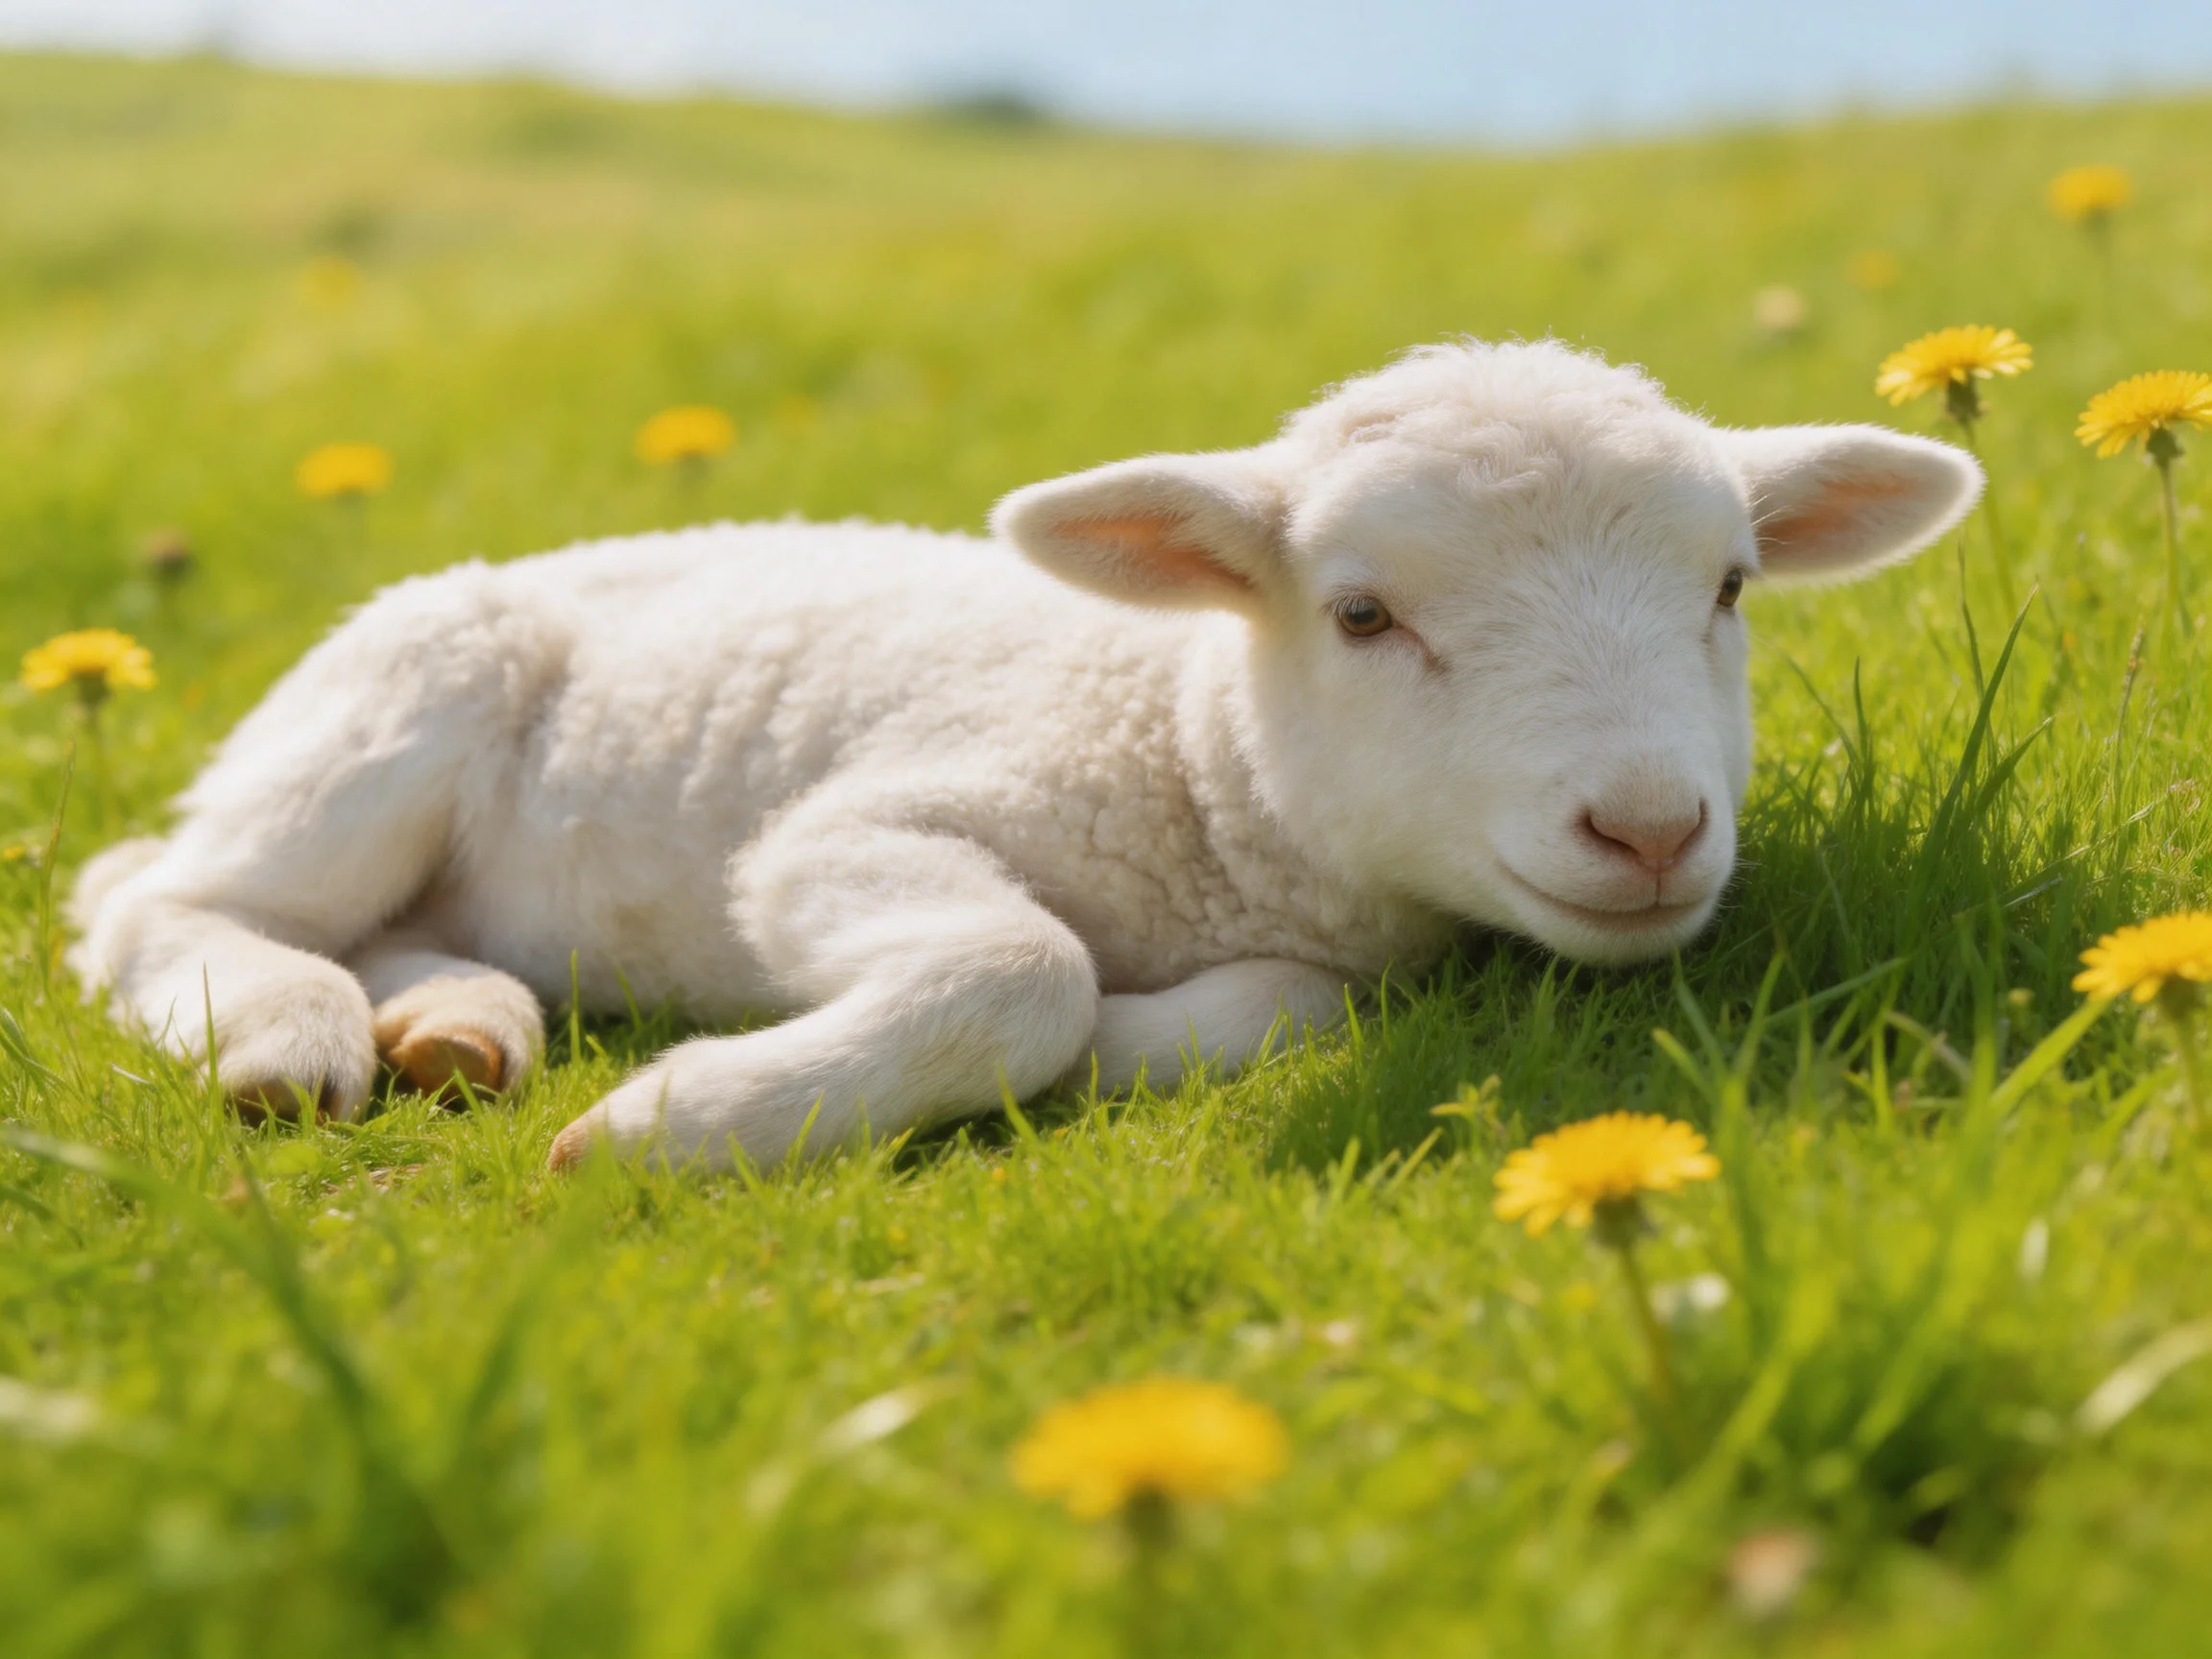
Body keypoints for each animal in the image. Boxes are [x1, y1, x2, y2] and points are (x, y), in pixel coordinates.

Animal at [69, 340, 1980, 1170]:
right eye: (1362, 615)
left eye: (1728, 587)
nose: (1648, 828)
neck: (1190, 745)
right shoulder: (852, 832)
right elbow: (1021, 969)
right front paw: (683, 1118)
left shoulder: (1304, 949)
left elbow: (1282, 1007)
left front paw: (1138, 1045)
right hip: (390, 709)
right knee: (165, 904)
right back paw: (291, 1034)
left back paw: (461, 1024)